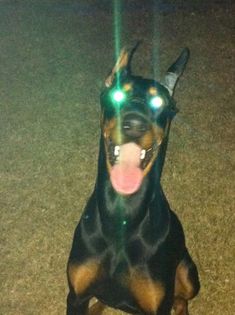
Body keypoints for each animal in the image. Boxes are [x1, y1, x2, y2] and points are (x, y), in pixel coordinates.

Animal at [66, 42, 200, 315]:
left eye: (159, 101)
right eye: (117, 95)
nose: (135, 124)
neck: (122, 215)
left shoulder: (158, 306)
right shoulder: (76, 296)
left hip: (188, 274)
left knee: (182, 299)